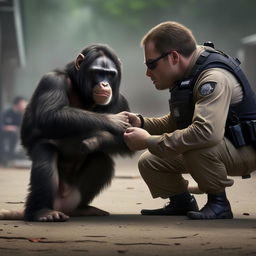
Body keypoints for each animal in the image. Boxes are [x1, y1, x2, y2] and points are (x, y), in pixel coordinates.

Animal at [2, 44, 133, 222]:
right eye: (98, 72)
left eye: (110, 74)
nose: (105, 84)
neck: (83, 94)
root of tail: (63, 206)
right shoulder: (52, 80)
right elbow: (50, 114)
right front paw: (113, 121)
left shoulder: (120, 100)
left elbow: (128, 141)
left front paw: (96, 140)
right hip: (54, 198)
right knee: (46, 153)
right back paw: (42, 211)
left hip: (74, 197)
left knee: (101, 160)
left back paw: (82, 209)